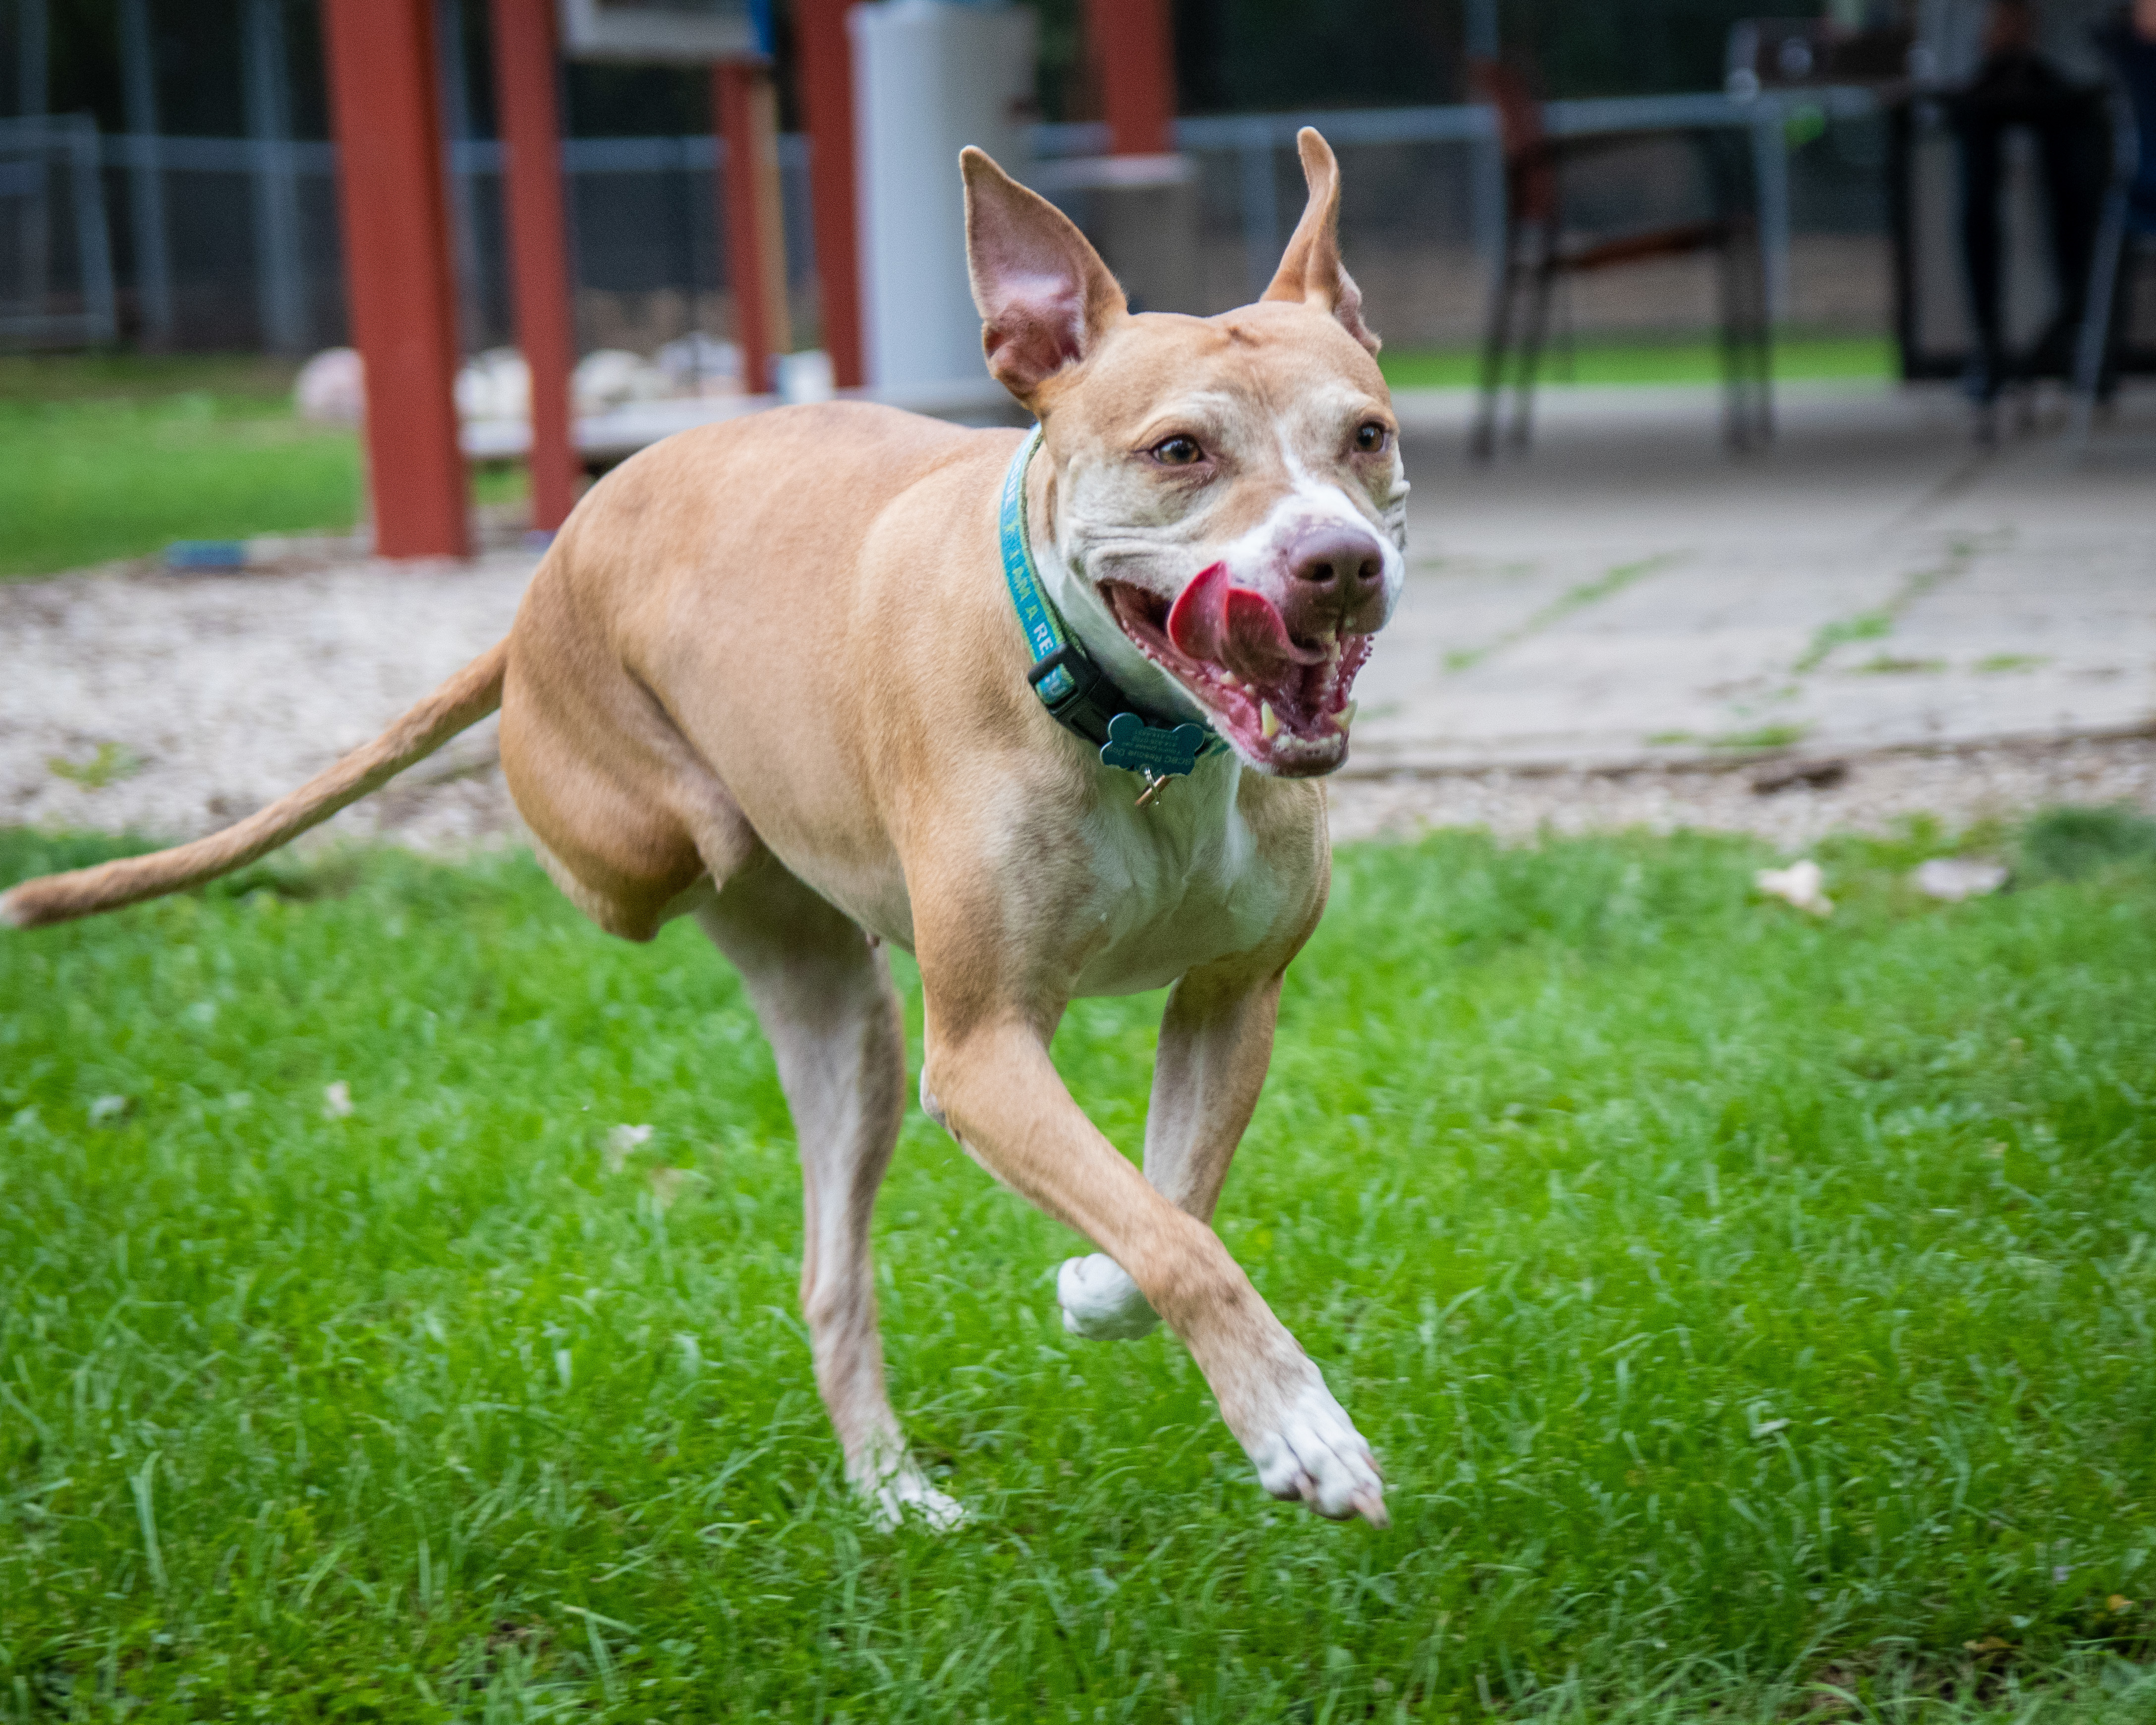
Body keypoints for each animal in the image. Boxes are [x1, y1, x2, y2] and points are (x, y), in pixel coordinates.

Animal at [4, 131, 1414, 1526]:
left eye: (1367, 435)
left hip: (851, 1038)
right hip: (659, 852)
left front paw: (1095, 1290)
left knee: (832, 1278)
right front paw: (1301, 1427)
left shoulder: (1230, 1000)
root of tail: (544, 576)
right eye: (1179, 452)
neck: (1138, 735)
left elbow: (1171, 1209)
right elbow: (1179, 1240)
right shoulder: (984, 1050)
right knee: (655, 867)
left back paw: (893, 1494)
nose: (1340, 562)